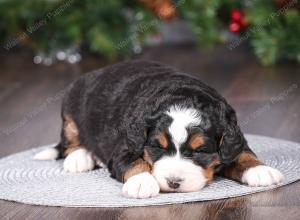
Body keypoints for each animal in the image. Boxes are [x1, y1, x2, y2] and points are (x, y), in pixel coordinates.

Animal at [35, 60, 284, 199]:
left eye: (201, 151)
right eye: (157, 147)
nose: (173, 183)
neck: (182, 94)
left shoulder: (232, 136)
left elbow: (242, 153)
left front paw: (260, 170)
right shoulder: (125, 146)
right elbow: (134, 162)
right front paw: (142, 182)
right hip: (70, 110)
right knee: (70, 143)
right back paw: (80, 158)